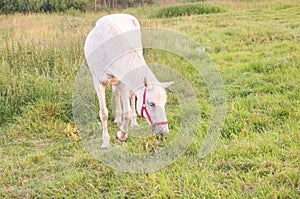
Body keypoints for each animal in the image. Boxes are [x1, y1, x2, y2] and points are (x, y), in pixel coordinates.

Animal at [84, 13, 173, 148]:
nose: (164, 134)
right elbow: (104, 113)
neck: (110, 49)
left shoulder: (123, 81)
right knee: (116, 93)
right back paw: (117, 119)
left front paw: (121, 135)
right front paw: (106, 142)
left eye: (164, 103)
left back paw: (133, 122)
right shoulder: (99, 84)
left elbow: (128, 112)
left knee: (129, 96)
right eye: (151, 104)